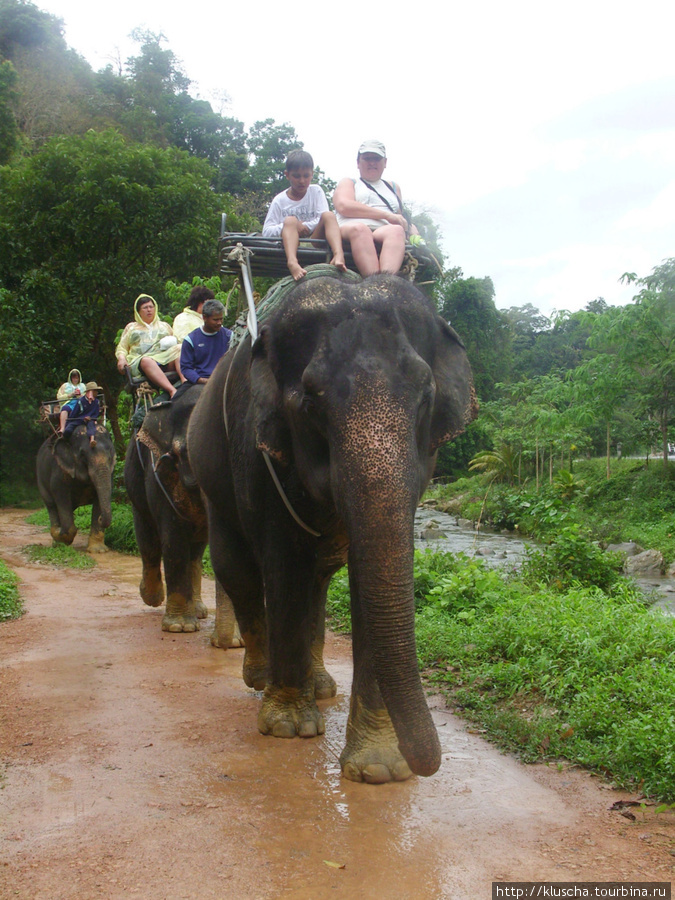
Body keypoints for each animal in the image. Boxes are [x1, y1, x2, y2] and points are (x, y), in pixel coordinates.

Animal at [36, 424, 116, 556]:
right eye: (83, 455)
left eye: (110, 456)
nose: (101, 518)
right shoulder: (60, 470)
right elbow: (60, 495)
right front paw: (61, 536)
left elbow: (100, 497)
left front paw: (98, 550)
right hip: (40, 480)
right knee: (52, 505)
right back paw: (56, 536)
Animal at [125, 386, 242, 648]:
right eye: (189, 453)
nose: (222, 644)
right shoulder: (160, 474)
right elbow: (174, 541)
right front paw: (179, 627)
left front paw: (238, 643)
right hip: (135, 480)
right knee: (147, 538)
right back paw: (152, 596)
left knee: (196, 551)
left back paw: (198, 610)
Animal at [187, 272, 478, 780]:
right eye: (310, 400)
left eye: (427, 397)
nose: (428, 765)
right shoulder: (256, 448)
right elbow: (283, 566)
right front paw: (287, 728)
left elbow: (368, 578)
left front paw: (380, 769)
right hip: (212, 472)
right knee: (237, 568)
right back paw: (260, 677)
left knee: (317, 580)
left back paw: (321, 686)